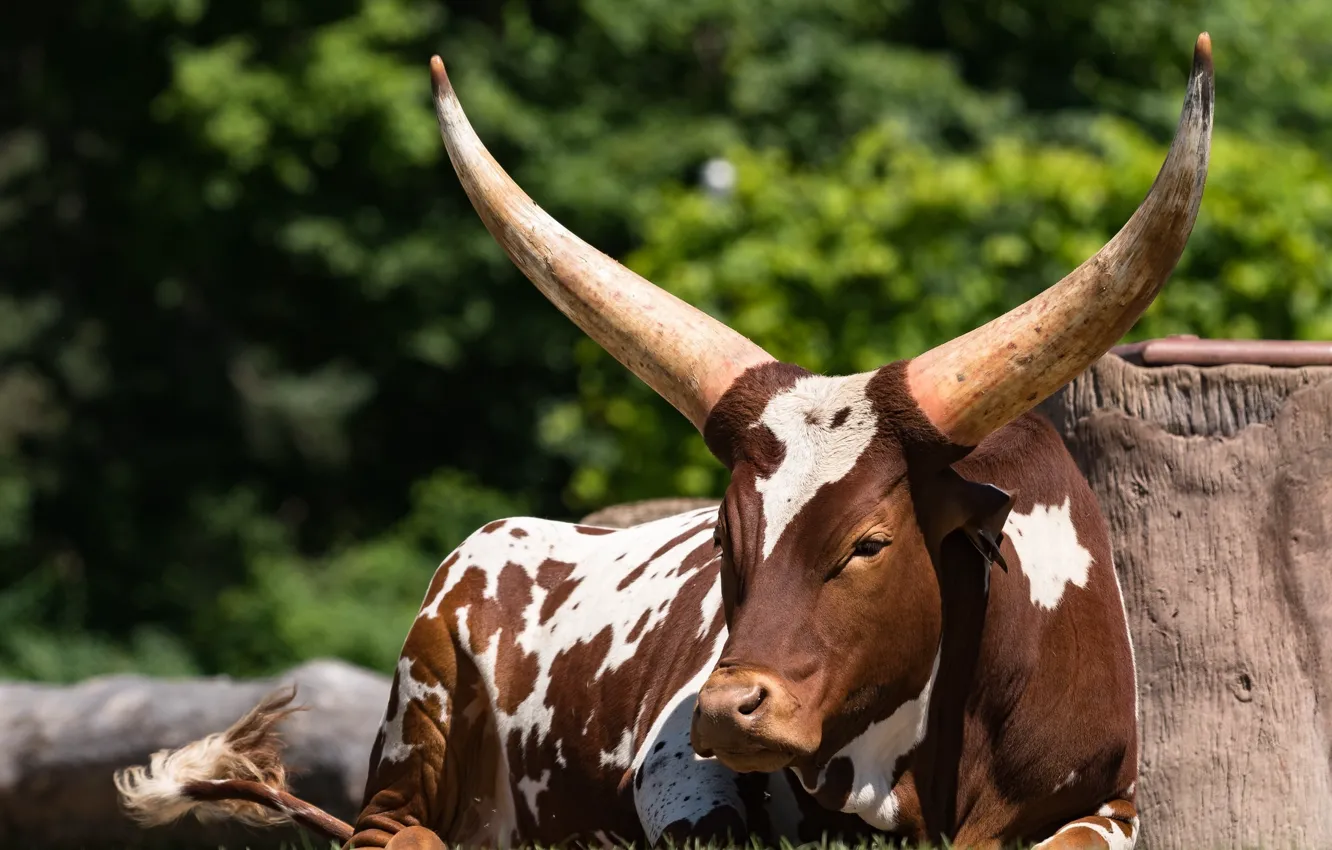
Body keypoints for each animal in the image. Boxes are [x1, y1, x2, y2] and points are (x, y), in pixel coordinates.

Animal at [115, 32, 1214, 850]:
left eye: (870, 541)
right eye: (725, 538)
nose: (731, 710)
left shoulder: (1109, 801)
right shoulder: (677, 774)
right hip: (414, 722)